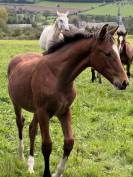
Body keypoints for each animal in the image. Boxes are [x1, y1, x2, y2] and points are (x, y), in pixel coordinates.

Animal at [7, 24, 128, 177]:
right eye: (107, 53)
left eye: (118, 52)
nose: (124, 82)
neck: (58, 76)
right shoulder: (43, 112)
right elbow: (47, 145)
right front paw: (47, 173)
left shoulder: (64, 111)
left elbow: (69, 142)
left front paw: (57, 173)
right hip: (17, 104)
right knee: (20, 123)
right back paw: (21, 156)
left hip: (36, 111)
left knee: (32, 129)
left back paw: (30, 165)